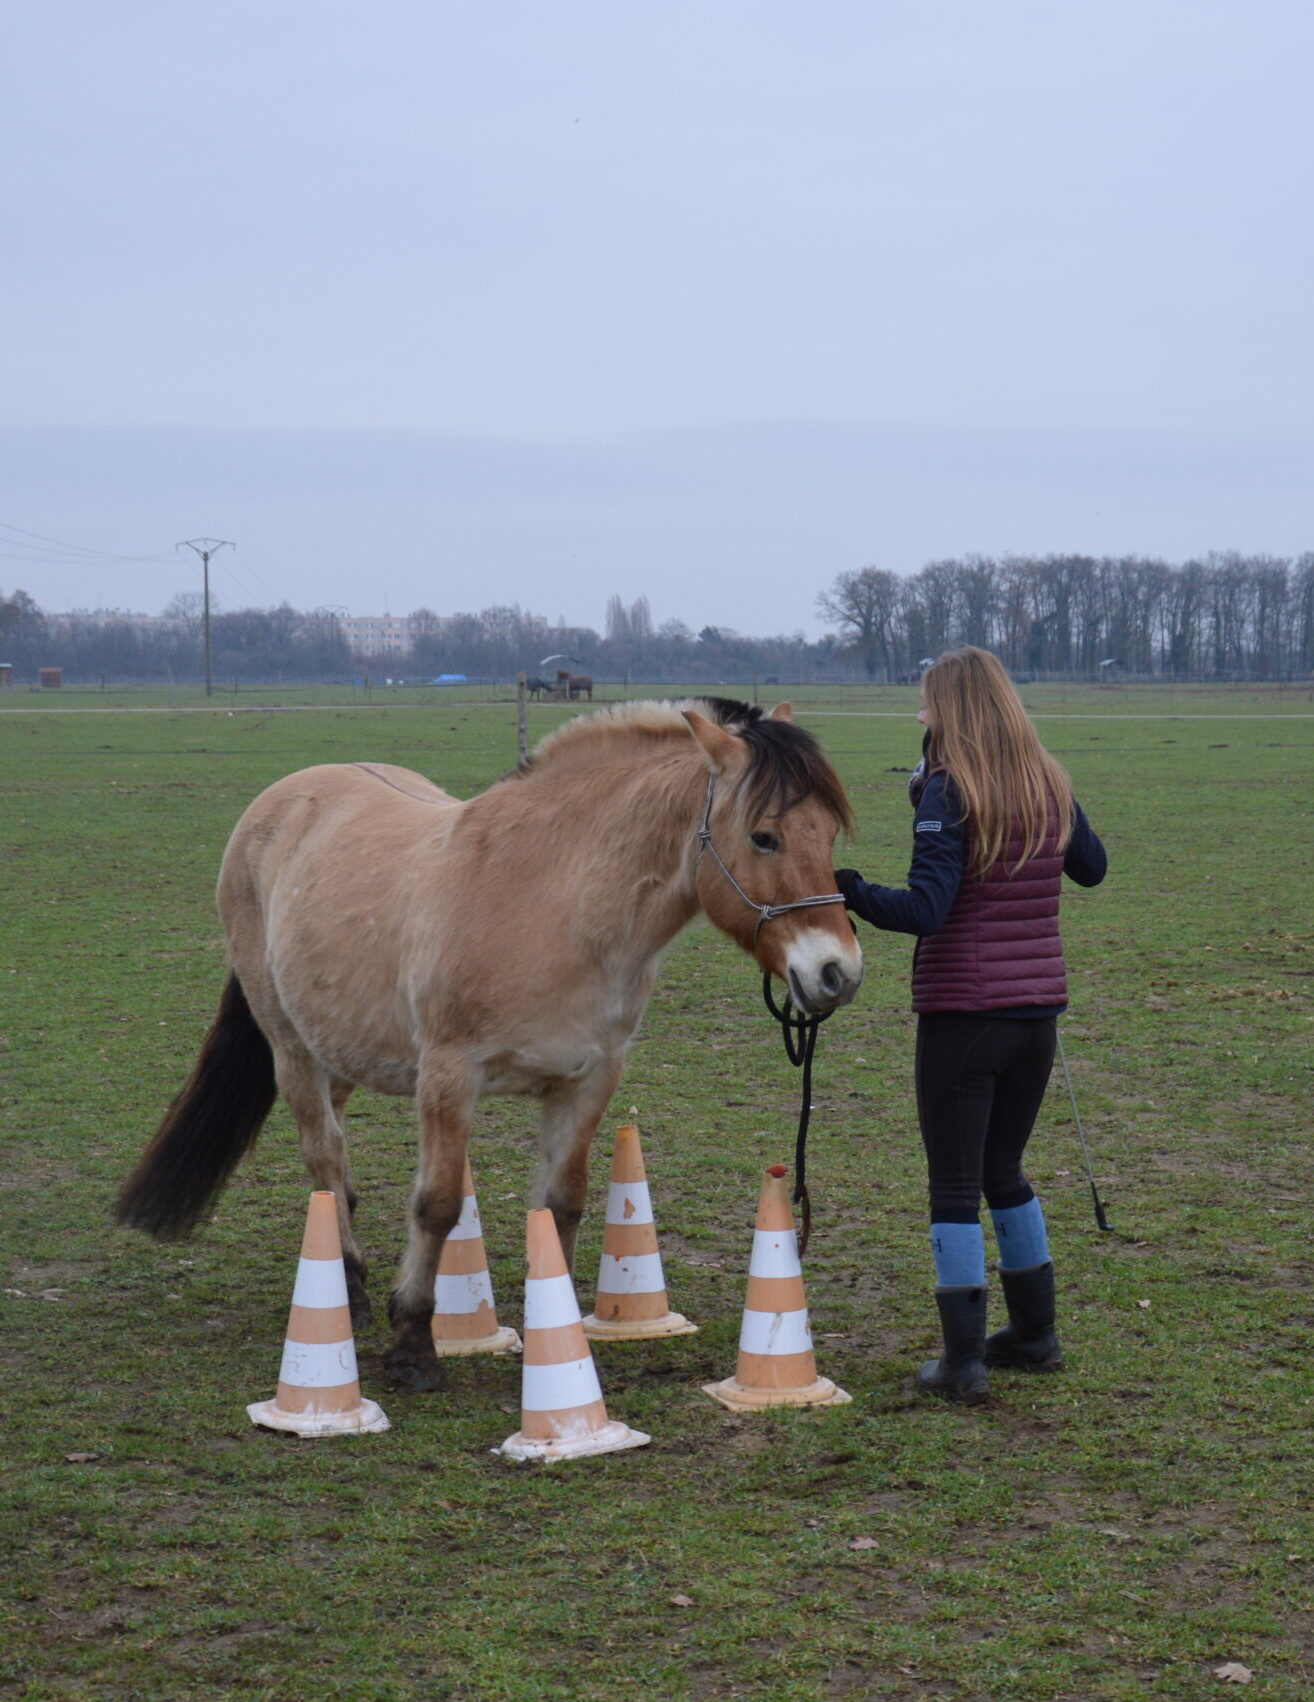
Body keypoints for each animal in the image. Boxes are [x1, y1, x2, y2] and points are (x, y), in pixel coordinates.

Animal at [115, 697, 861, 1388]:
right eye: (764, 837)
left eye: (829, 834)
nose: (837, 973)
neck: (551, 902)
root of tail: (281, 801)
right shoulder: (449, 1077)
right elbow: (439, 1204)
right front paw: (412, 1344)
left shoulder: (588, 1081)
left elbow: (562, 1203)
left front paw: (555, 1338)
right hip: (290, 1046)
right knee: (322, 1153)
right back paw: (349, 1289)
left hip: (340, 1044)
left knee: (337, 1154)